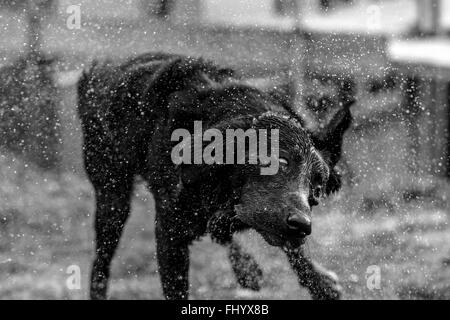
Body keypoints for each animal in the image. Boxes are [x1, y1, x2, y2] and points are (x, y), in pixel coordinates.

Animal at [76, 52, 352, 300]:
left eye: (318, 187)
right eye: (280, 161)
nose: (303, 225)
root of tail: (98, 69)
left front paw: (318, 280)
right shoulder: (170, 233)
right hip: (112, 199)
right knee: (101, 263)